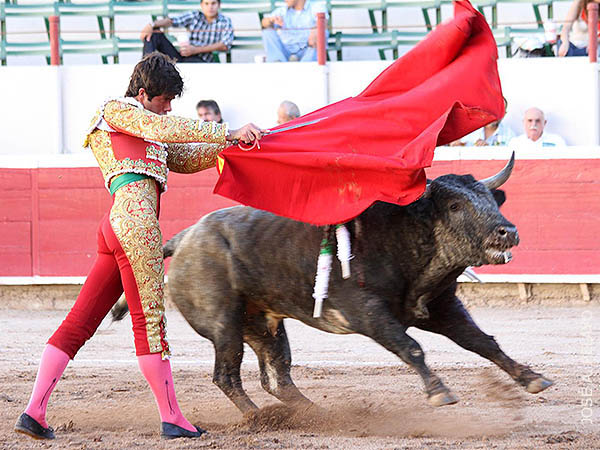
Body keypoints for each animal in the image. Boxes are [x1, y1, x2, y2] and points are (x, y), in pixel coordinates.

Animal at [112, 153, 553, 412]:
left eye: (491, 199)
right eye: (456, 205)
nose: (508, 232)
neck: (406, 234)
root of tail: (185, 236)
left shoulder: (441, 306)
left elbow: (483, 342)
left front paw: (532, 378)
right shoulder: (367, 313)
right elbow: (411, 347)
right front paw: (439, 391)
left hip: (264, 325)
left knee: (277, 374)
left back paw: (309, 414)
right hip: (224, 324)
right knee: (227, 375)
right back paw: (259, 420)